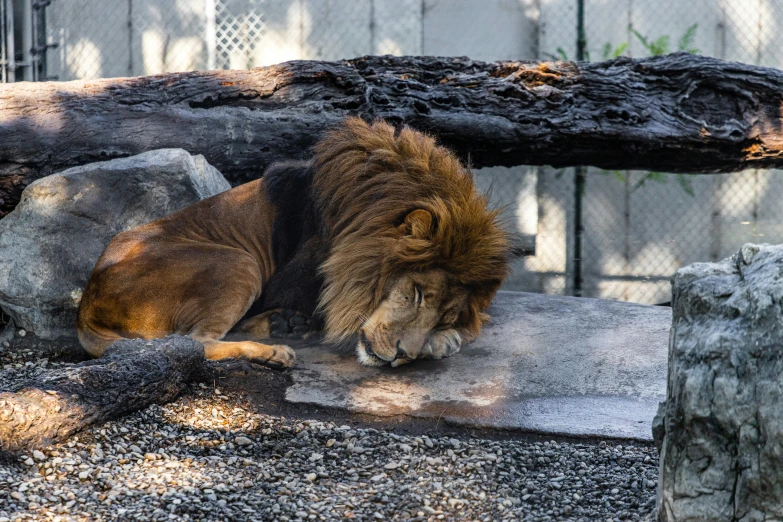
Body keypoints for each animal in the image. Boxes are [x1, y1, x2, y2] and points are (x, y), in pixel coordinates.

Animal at [78, 120, 520, 368]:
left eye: (445, 315)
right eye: (415, 294)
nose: (402, 356)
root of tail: (87, 304)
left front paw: (442, 339)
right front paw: (441, 343)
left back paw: (282, 325)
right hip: (238, 262)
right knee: (194, 341)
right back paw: (274, 351)